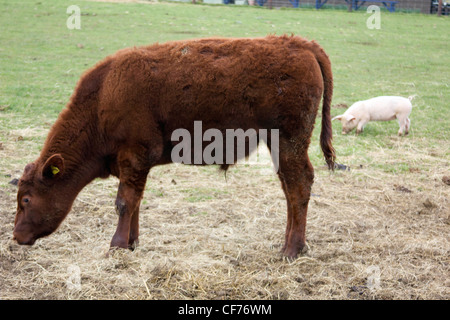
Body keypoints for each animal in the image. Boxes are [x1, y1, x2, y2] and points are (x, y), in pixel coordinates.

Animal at [13, 35, 334, 260]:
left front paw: (116, 246)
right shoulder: (134, 167)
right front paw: (131, 243)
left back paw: (291, 250)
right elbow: (135, 202)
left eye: (26, 199)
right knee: (290, 189)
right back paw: (289, 245)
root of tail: (301, 44)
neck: (104, 96)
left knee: (299, 186)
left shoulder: (134, 157)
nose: (16, 236)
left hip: (289, 142)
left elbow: (124, 202)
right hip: (279, 146)